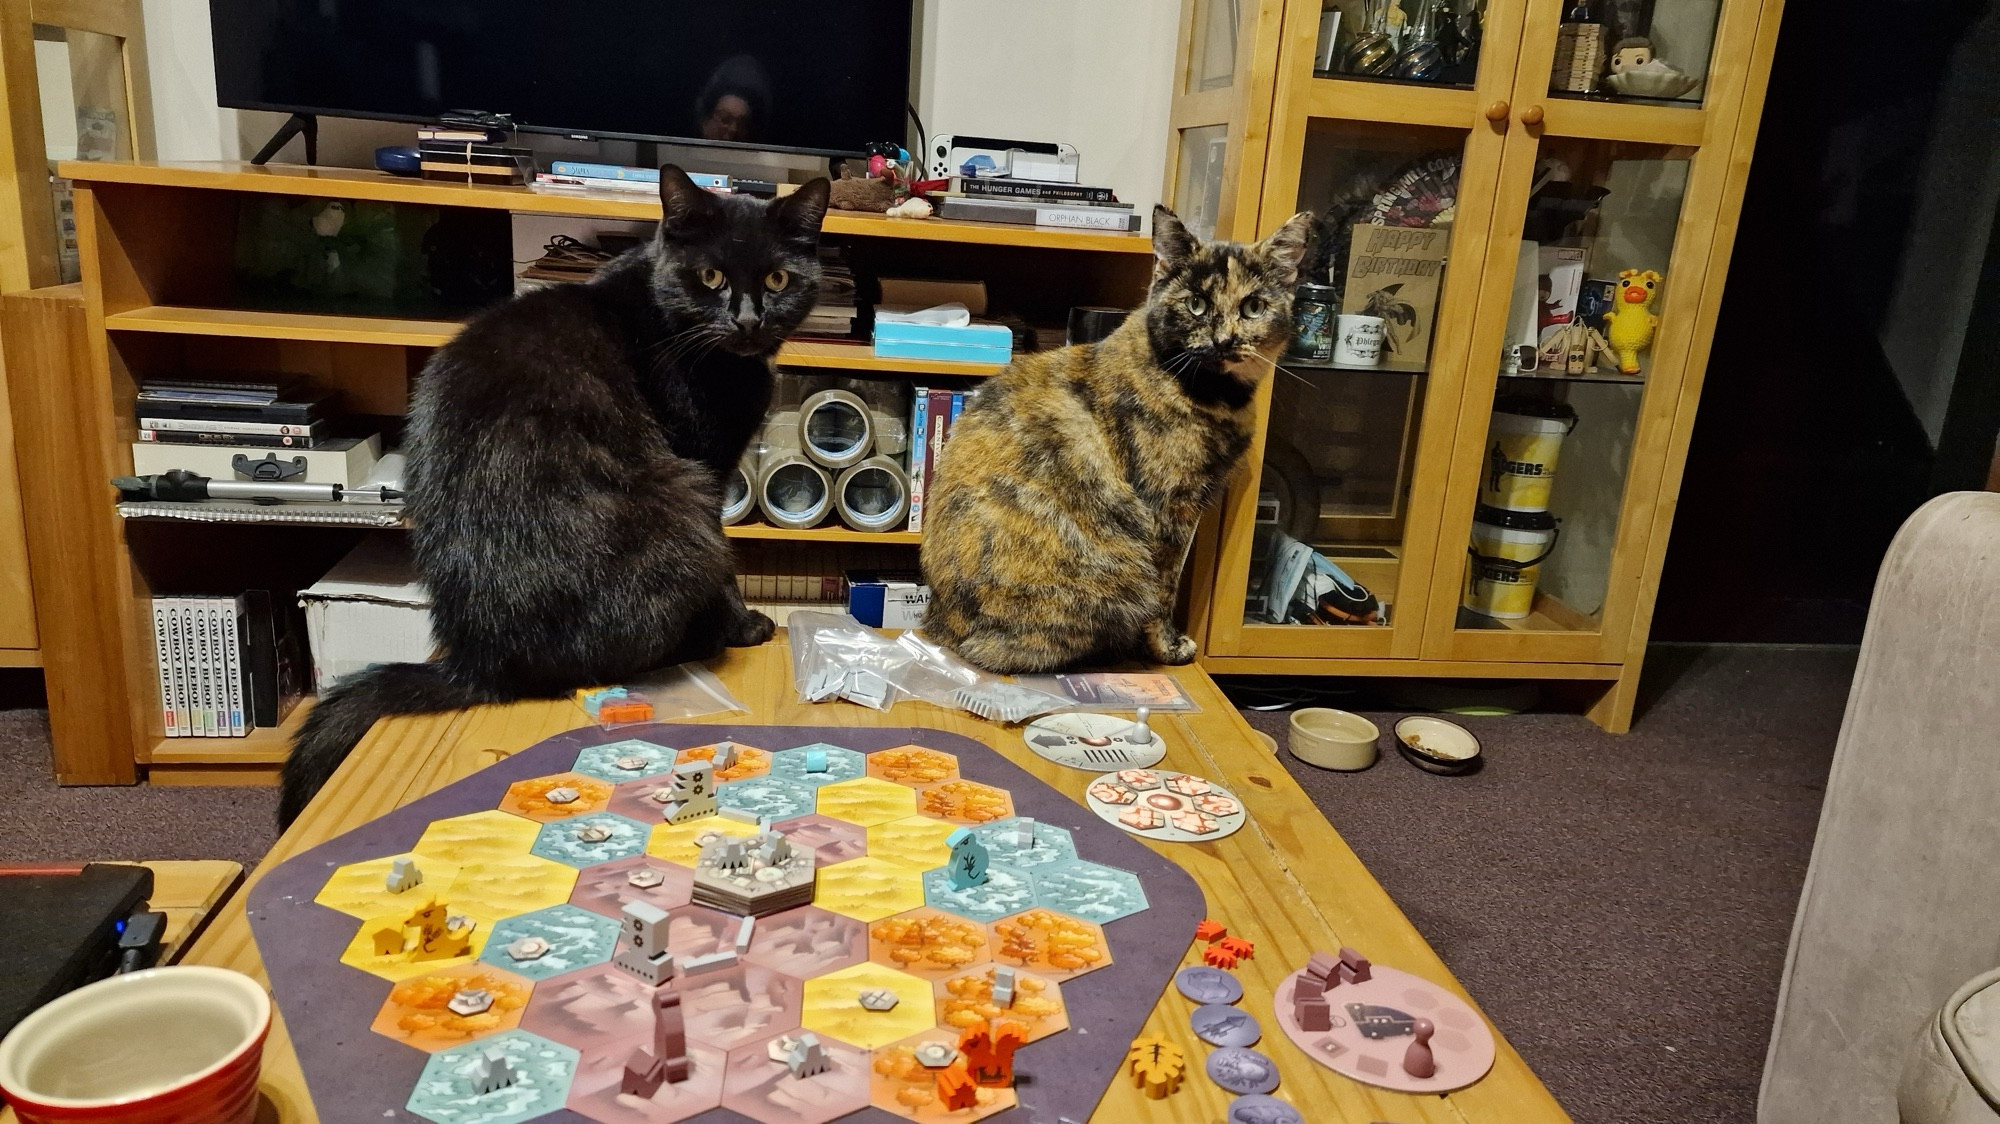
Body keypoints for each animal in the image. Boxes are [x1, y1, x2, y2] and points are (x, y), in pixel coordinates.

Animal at [276, 166, 828, 820]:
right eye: (711, 277)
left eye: (777, 279)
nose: (746, 320)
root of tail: (479, 662)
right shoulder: (704, 468)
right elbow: (727, 571)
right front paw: (745, 624)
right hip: (681, 500)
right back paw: (706, 637)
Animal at [916, 206, 1312, 668]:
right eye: (1196, 304)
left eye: (1253, 306)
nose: (1225, 340)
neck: (1214, 396)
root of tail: (940, 625)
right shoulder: (1169, 506)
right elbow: (1166, 585)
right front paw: (1168, 647)